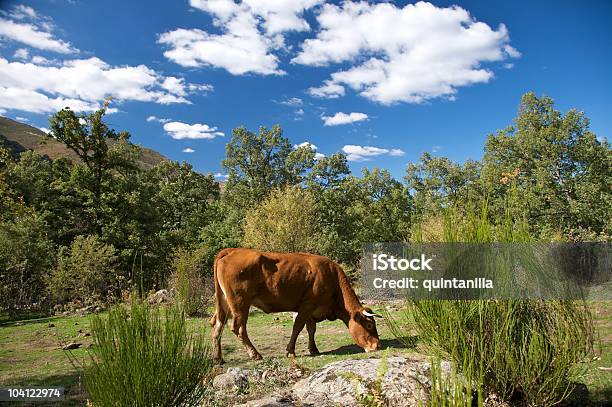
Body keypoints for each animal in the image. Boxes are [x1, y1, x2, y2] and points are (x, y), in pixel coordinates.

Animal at [210, 249, 380, 364]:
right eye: (369, 325)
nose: (377, 345)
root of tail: (233, 250)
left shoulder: (311, 310)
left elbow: (311, 329)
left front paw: (313, 349)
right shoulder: (307, 305)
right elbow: (297, 327)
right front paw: (290, 351)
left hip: (224, 303)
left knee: (217, 326)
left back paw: (218, 359)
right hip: (240, 303)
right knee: (238, 328)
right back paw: (255, 354)